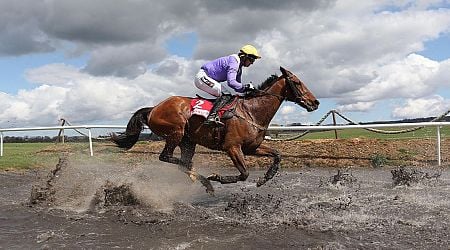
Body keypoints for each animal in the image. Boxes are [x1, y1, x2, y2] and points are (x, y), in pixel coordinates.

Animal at [110, 66, 318, 193]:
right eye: (297, 82)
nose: (315, 102)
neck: (251, 111)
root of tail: (153, 108)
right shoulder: (232, 147)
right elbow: (244, 173)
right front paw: (217, 177)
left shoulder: (251, 147)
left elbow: (277, 155)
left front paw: (264, 179)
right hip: (175, 132)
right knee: (169, 158)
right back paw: (204, 179)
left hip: (188, 141)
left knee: (182, 163)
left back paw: (201, 179)